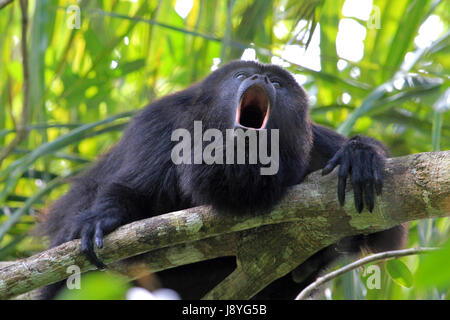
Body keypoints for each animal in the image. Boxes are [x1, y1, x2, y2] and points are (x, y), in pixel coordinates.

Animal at [38, 60, 408, 300]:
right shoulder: (160, 123)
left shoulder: (316, 147)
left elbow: (385, 231)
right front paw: (103, 218)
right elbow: (132, 189)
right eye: (242, 75)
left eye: (277, 84)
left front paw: (359, 155)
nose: (259, 77)